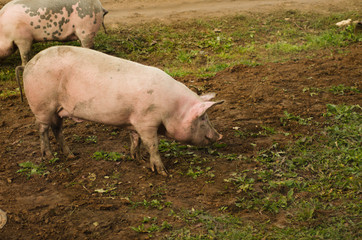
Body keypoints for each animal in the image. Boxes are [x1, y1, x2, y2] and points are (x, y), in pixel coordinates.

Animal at [22, 46, 223, 175]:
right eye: (203, 118)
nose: (219, 136)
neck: (172, 109)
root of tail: (29, 64)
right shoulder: (146, 121)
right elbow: (153, 145)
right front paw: (163, 172)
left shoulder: (133, 122)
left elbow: (135, 140)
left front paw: (138, 159)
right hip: (42, 106)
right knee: (43, 129)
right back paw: (48, 156)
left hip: (58, 111)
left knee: (58, 129)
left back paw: (71, 155)